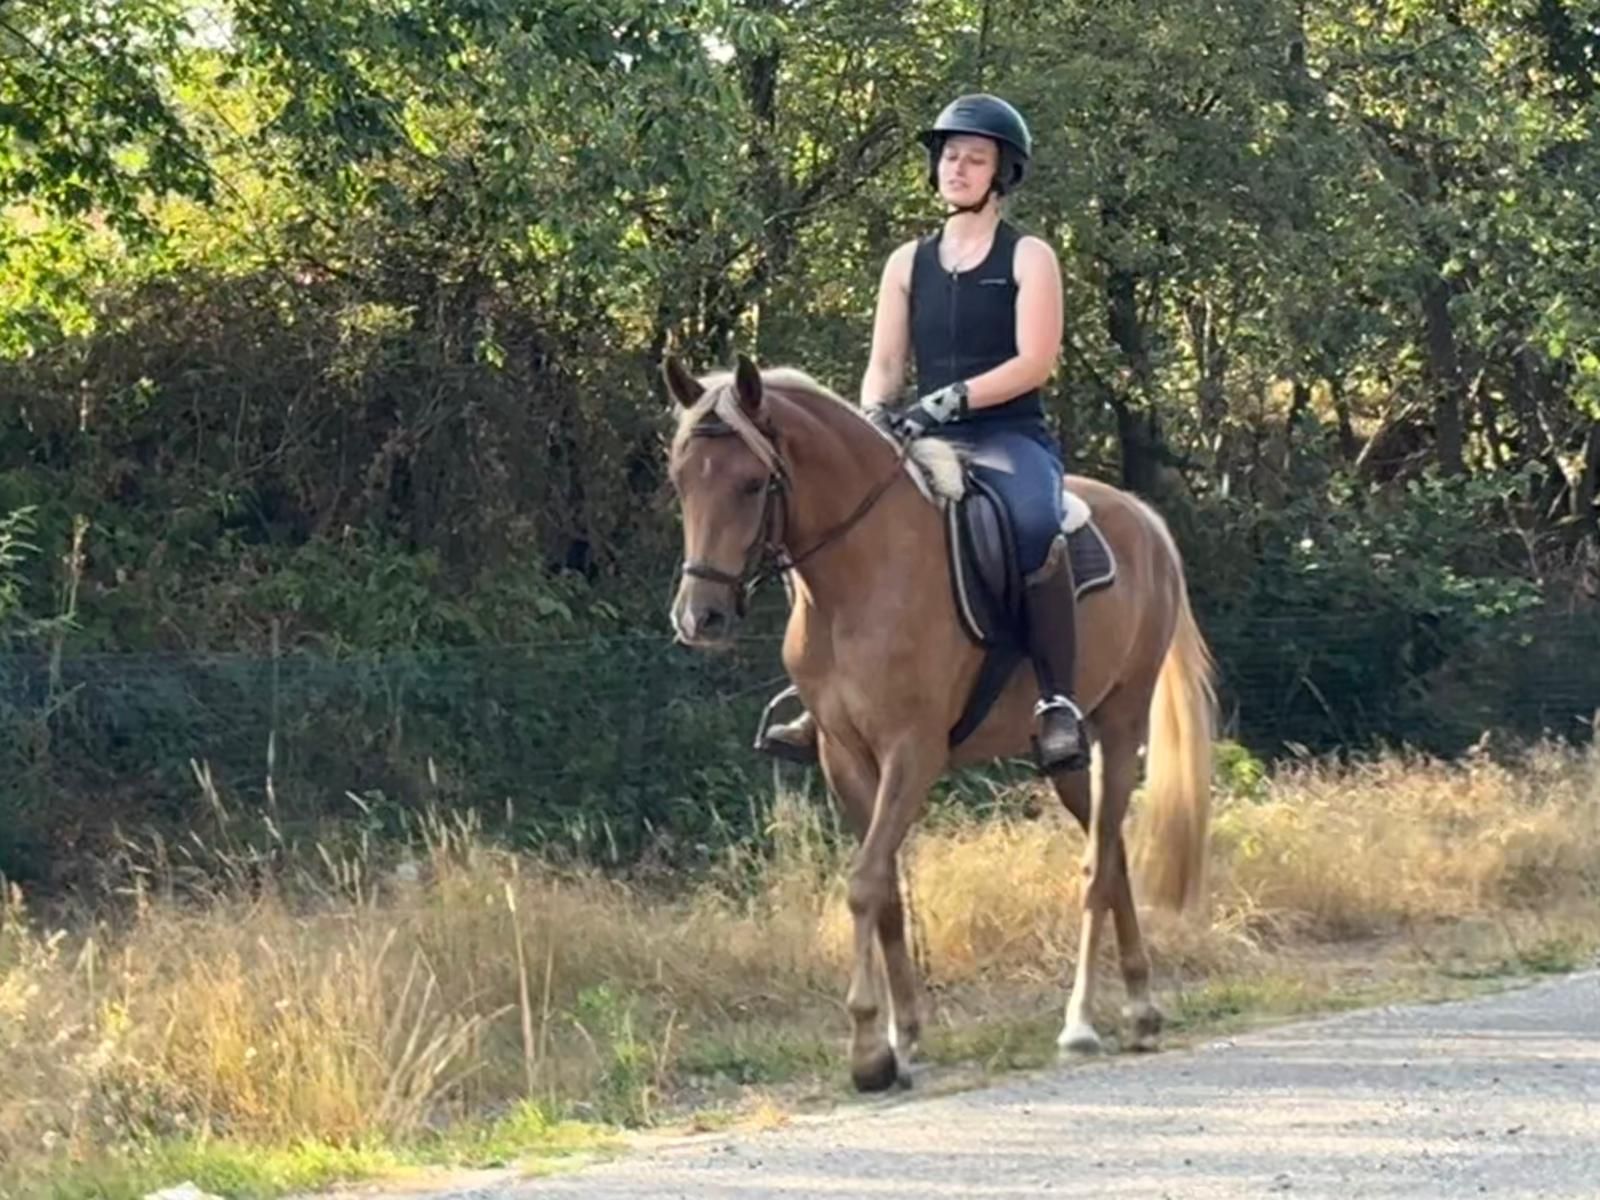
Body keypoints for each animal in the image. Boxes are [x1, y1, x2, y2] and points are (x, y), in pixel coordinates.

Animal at [665, 352, 1216, 1092]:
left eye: (753, 484)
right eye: (681, 479)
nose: (701, 617)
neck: (858, 577)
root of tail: (1145, 520)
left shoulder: (912, 751)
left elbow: (865, 882)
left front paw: (868, 1049)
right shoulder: (845, 756)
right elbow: (886, 892)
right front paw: (905, 1039)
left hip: (1120, 726)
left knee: (1097, 866)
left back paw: (1082, 1023)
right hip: (1068, 757)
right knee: (1114, 854)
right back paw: (1141, 1008)